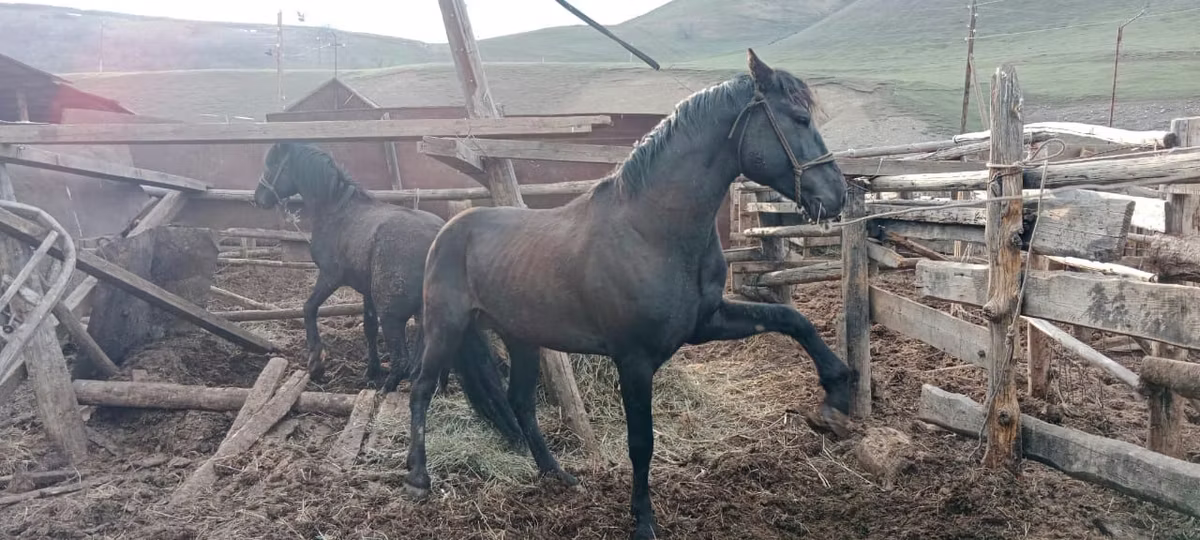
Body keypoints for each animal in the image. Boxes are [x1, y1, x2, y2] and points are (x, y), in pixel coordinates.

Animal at [252, 143, 451, 390]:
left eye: (272, 165)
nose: (258, 198)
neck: (338, 210)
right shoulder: (366, 290)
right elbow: (369, 327)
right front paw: (372, 371)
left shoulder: (330, 276)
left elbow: (309, 308)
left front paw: (316, 363)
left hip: (392, 313)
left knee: (402, 359)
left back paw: (388, 388)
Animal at [399, 49, 857, 540]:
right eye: (800, 118)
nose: (837, 195)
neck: (652, 230)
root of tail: (446, 230)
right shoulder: (634, 360)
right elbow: (641, 442)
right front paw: (643, 520)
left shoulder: (707, 321)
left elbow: (793, 320)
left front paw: (835, 396)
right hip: (446, 328)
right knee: (421, 389)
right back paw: (418, 479)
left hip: (521, 339)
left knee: (520, 402)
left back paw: (558, 475)